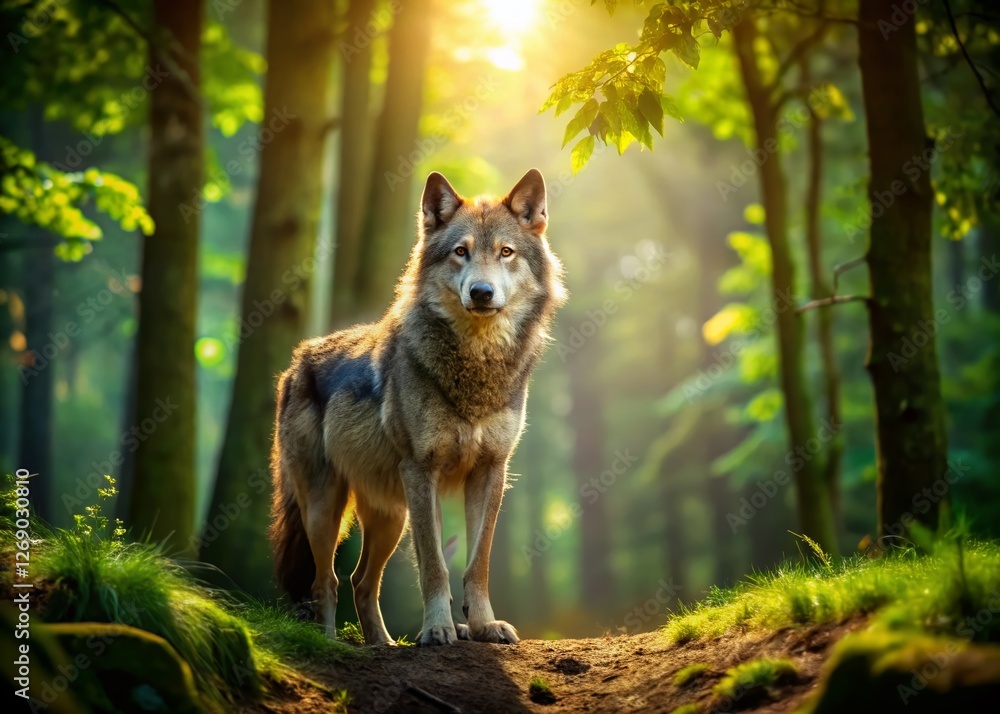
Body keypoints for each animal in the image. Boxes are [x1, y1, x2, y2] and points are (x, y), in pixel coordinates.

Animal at [269, 169, 566, 646]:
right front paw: (439, 629)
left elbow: (477, 563)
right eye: (461, 252)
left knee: (361, 581)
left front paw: (482, 626)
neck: (476, 367)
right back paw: (331, 642)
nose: (481, 292)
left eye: (506, 252)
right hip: (325, 507)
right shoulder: (421, 470)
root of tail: (296, 363)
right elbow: (434, 566)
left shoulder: (491, 471)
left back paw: (383, 644)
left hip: (391, 517)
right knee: (325, 581)